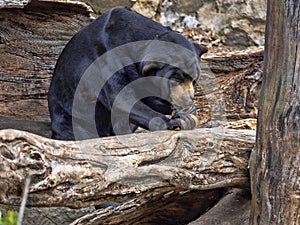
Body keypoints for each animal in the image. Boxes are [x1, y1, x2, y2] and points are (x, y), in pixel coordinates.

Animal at [48, 6, 207, 141]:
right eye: (174, 80)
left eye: (194, 80)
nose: (187, 102)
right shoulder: (106, 59)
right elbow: (121, 97)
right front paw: (176, 121)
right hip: (73, 117)